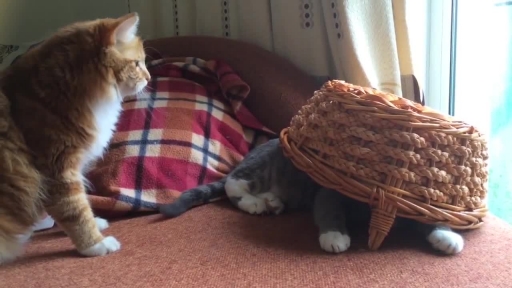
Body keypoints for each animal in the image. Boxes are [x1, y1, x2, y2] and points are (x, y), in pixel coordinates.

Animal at [0, 12, 150, 264]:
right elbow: (75, 211)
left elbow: (77, 207)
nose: (149, 78)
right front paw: (95, 244)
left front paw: (95, 225)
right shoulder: (58, 170)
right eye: (137, 63)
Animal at [160, 139, 464, 254]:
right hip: (264, 165)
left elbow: (429, 216)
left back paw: (273, 202)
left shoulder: (410, 203)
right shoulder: (329, 191)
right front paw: (334, 235)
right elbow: (329, 210)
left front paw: (445, 235)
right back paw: (255, 202)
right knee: (233, 183)